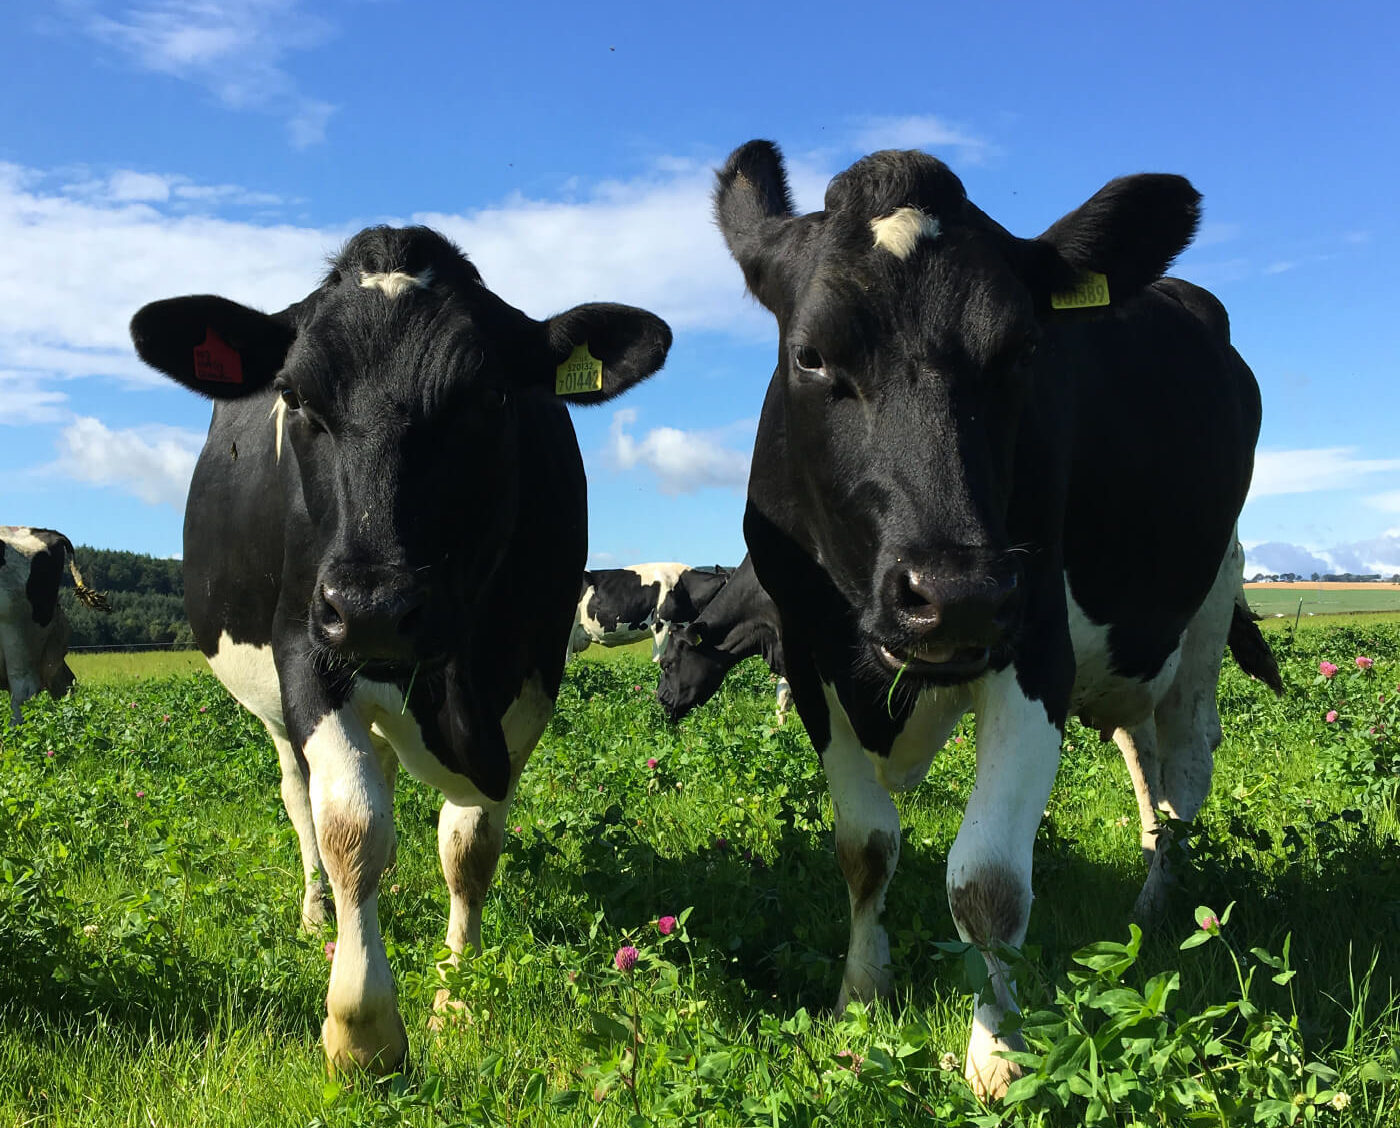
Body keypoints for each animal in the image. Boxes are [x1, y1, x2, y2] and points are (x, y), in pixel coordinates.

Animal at [129, 224, 671, 1074]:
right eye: (295, 399)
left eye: (489, 398)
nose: (373, 608)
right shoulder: (306, 647)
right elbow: (349, 826)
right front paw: (363, 1030)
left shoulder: (531, 670)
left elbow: (469, 846)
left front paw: (456, 997)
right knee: (303, 801)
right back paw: (318, 913)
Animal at [714, 140, 1282, 1099]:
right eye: (812, 355)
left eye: (1021, 351)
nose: (958, 592)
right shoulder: (810, 655)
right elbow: (865, 846)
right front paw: (859, 995)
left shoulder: (1035, 642)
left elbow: (985, 883)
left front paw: (999, 1050)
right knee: (1143, 761)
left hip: (1206, 605)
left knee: (1185, 774)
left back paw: (1162, 906)